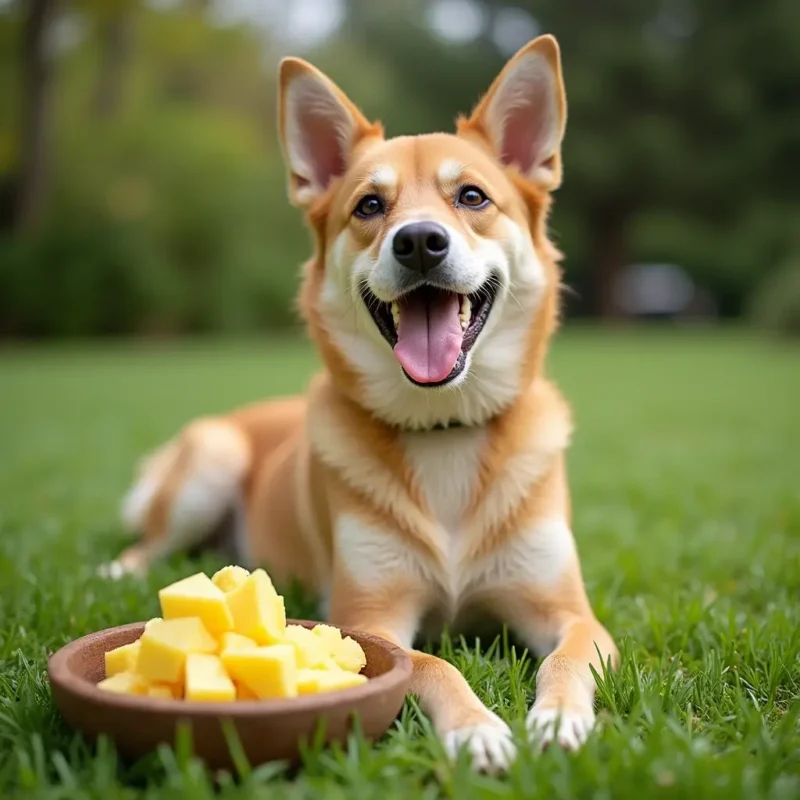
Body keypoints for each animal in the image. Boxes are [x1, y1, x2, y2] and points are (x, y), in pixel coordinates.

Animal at [104, 36, 620, 768]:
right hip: (211, 456)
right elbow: (434, 664)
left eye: (472, 196)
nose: (420, 241)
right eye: (370, 207)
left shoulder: (571, 613)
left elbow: (568, 657)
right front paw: (476, 728)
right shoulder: (368, 618)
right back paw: (115, 568)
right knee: (147, 543)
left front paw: (558, 719)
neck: (444, 428)